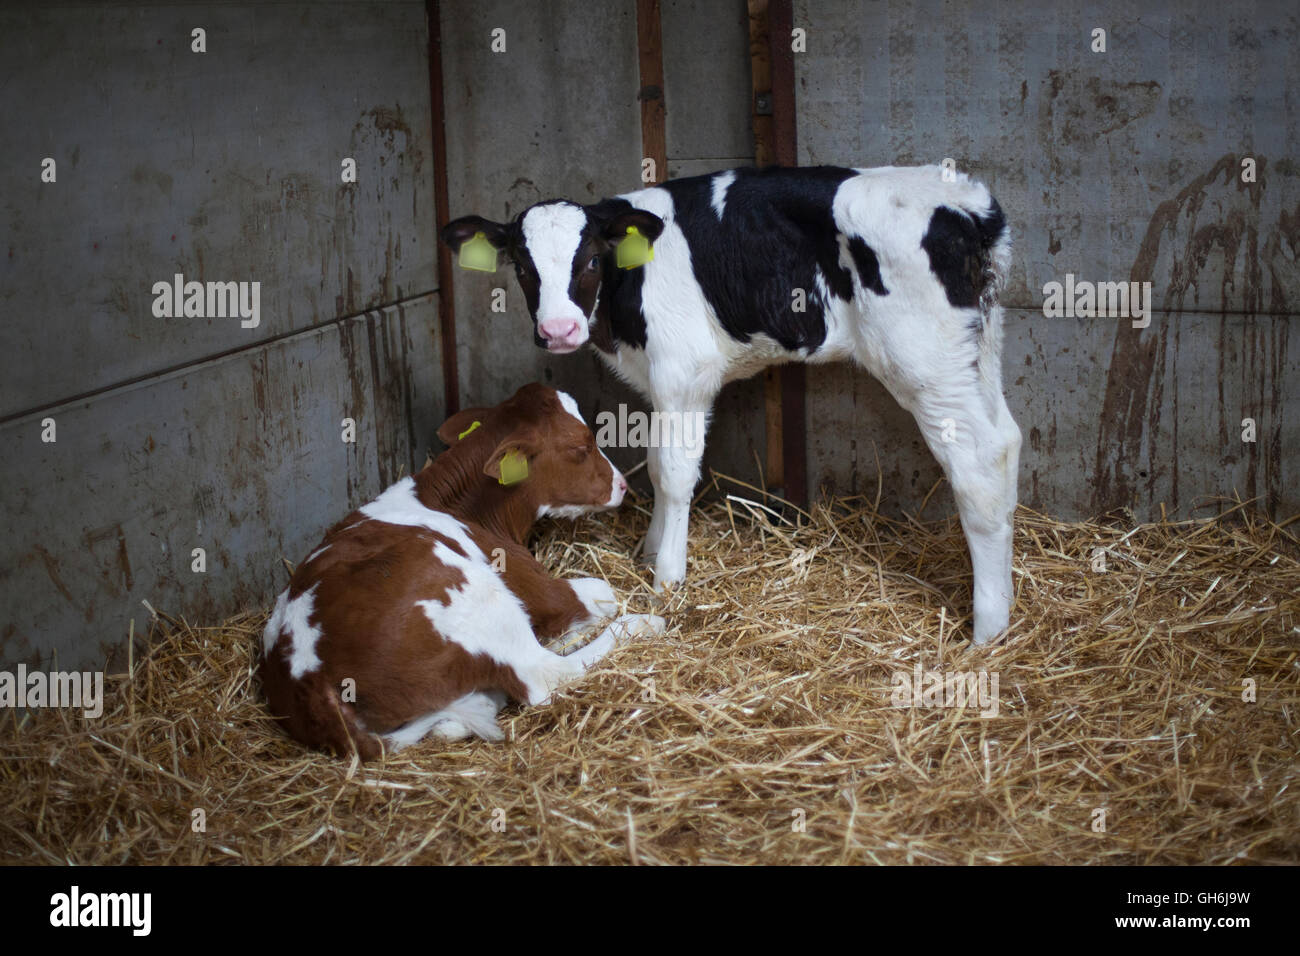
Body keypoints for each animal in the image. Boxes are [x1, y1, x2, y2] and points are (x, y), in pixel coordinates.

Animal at [260, 382, 665, 764]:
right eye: (581, 446)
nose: (622, 485)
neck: (457, 506)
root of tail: (310, 678)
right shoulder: (540, 590)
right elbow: (603, 593)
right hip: (478, 595)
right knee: (544, 676)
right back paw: (644, 624)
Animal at [441, 164, 1019, 647]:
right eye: (522, 266)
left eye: (589, 260)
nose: (559, 330)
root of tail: (966, 203)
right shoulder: (661, 381)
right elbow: (655, 465)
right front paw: (651, 549)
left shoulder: (684, 372)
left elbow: (675, 474)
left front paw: (667, 578)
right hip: (979, 348)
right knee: (1007, 441)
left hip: (928, 364)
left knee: (978, 464)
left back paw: (987, 632)